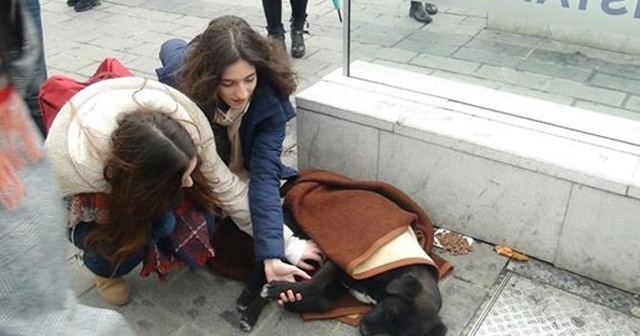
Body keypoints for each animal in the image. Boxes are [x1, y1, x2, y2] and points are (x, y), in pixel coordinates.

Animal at [258, 258, 448, 334]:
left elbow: (325, 303)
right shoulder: (344, 265)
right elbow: (315, 283)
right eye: (390, 311)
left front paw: (292, 301)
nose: (364, 330)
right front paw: (278, 289)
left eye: (394, 333)